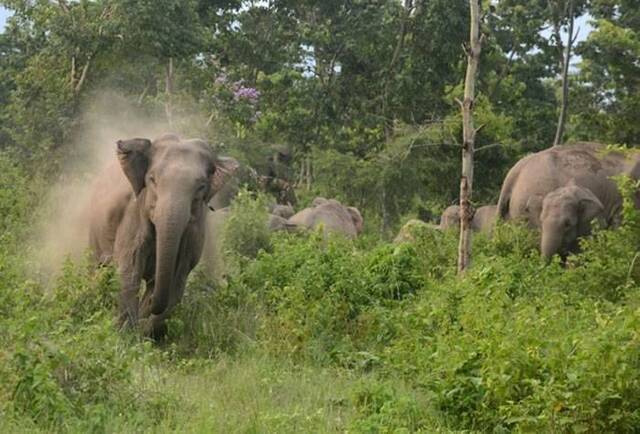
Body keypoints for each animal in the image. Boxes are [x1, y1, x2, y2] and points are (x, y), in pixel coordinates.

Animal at [89, 134, 239, 338]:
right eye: (152, 179)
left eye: (201, 187)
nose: (149, 305)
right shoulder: (134, 214)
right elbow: (129, 268)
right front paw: (126, 334)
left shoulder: (195, 231)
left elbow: (178, 277)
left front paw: (143, 331)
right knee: (98, 267)